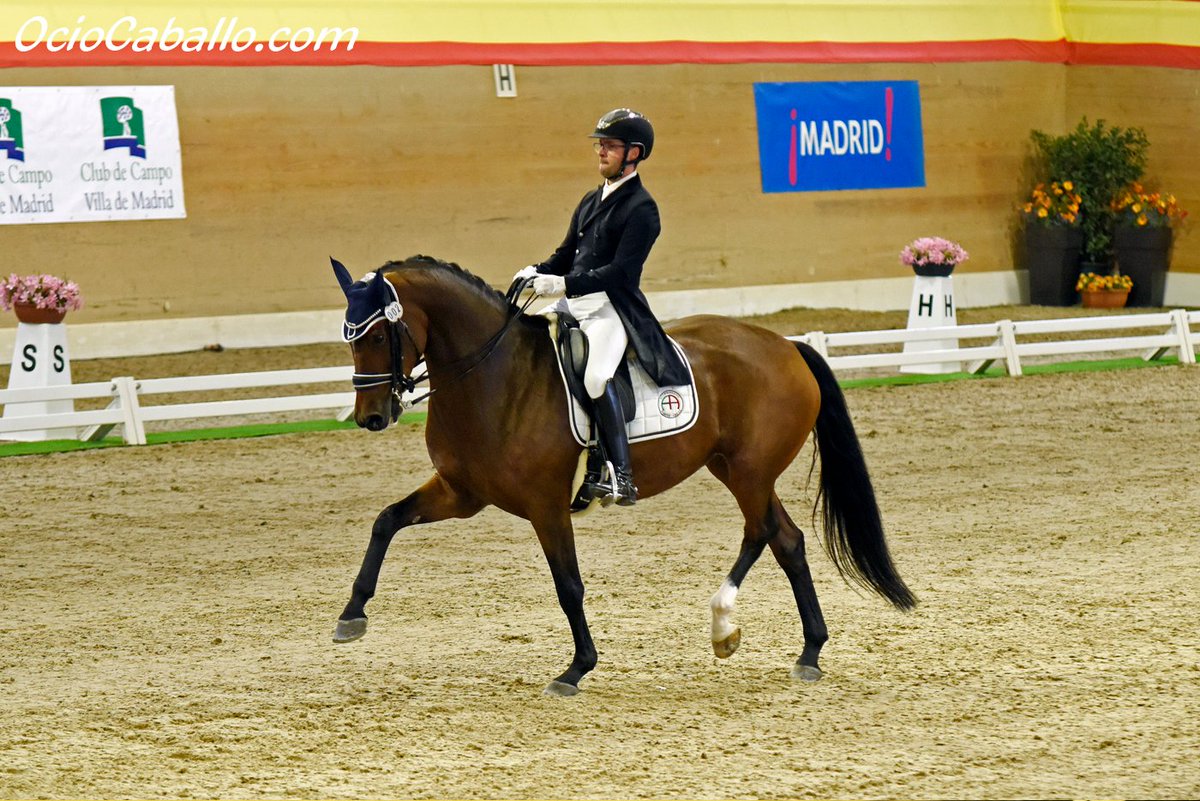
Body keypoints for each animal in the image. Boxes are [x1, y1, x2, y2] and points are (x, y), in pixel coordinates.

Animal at [330, 255, 915, 696]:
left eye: (378, 336)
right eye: (349, 338)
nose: (371, 417)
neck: (492, 375)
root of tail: (784, 345)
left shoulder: (545, 505)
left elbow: (568, 585)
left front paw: (576, 669)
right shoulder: (461, 493)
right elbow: (386, 521)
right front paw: (352, 615)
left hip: (750, 470)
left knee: (762, 531)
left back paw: (724, 624)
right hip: (735, 467)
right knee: (787, 540)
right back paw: (808, 651)